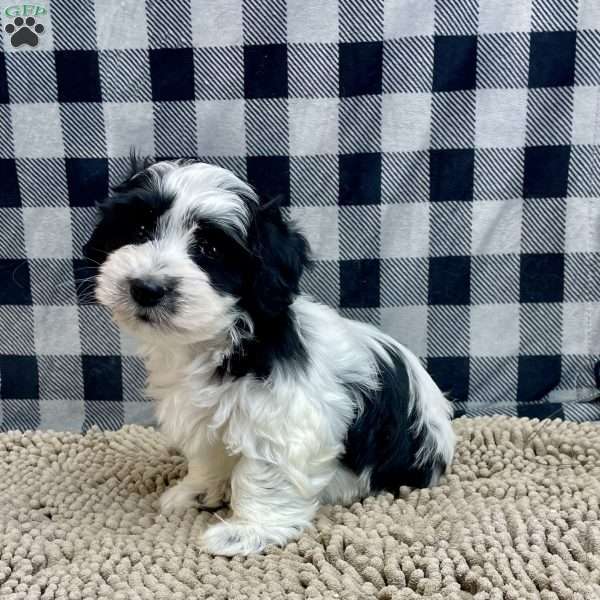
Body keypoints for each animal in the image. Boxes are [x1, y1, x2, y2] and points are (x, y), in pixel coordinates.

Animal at [84, 157, 454, 556]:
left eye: (210, 250)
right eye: (138, 229)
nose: (146, 288)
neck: (223, 340)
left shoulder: (284, 420)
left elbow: (264, 473)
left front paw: (247, 530)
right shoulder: (203, 416)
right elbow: (209, 454)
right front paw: (197, 491)